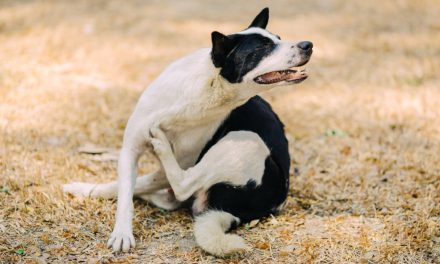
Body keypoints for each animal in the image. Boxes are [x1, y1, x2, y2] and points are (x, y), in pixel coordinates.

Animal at [64, 7, 312, 256]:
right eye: (264, 47)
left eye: (278, 38)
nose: (308, 44)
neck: (207, 89)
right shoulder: (130, 149)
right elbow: (126, 193)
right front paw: (121, 231)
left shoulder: (182, 161)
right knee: (165, 194)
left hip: (246, 139)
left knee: (182, 186)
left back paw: (160, 144)